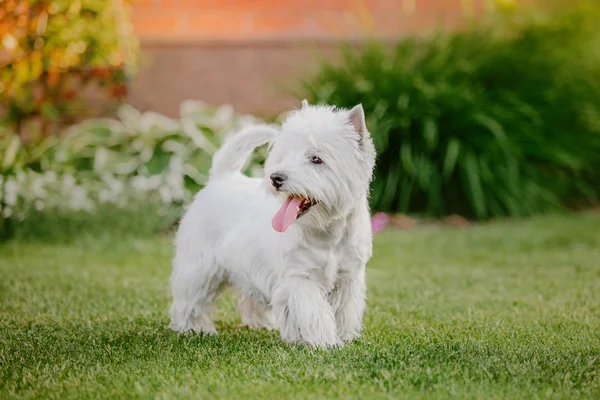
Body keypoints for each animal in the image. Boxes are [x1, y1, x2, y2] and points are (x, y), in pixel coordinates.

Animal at [169, 100, 376, 346]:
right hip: (200, 265)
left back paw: (260, 324)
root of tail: (221, 178)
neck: (328, 235)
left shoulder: (348, 278)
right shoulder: (299, 279)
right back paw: (193, 328)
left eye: (316, 159)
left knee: (248, 297)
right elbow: (315, 313)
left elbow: (344, 312)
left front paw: (346, 338)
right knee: (190, 298)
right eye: (284, 156)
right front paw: (326, 342)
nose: (276, 178)